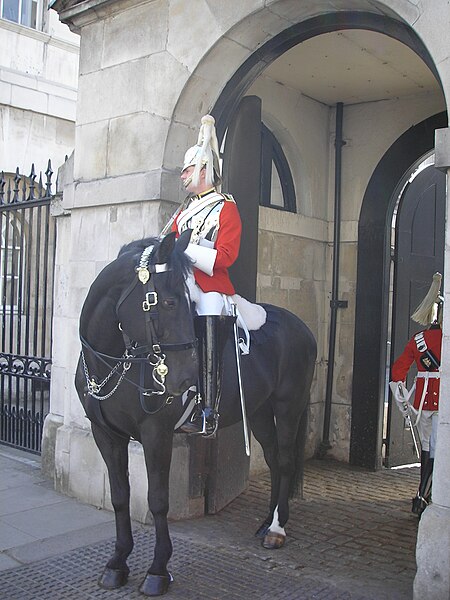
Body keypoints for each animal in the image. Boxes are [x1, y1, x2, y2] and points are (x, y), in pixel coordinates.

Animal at [75, 230, 316, 596]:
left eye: (187, 304)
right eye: (168, 303)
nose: (186, 380)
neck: (112, 361)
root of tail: (302, 327)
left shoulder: (156, 434)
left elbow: (158, 500)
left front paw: (158, 571)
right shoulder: (106, 435)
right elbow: (120, 496)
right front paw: (117, 563)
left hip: (289, 407)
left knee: (286, 461)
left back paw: (277, 529)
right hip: (259, 411)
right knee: (275, 460)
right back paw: (267, 522)